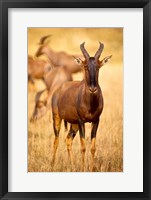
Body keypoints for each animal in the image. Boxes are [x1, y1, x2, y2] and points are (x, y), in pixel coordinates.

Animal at [51, 41, 111, 171]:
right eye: (85, 66)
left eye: (98, 67)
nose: (93, 89)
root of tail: (58, 90)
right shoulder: (81, 121)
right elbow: (83, 147)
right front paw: (83, 169)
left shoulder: (96, 121)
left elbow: (93, 148)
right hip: (57, 118)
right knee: (56, 141)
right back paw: (52, 165)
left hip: (73, 125)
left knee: (68, 140)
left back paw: (72, 166)